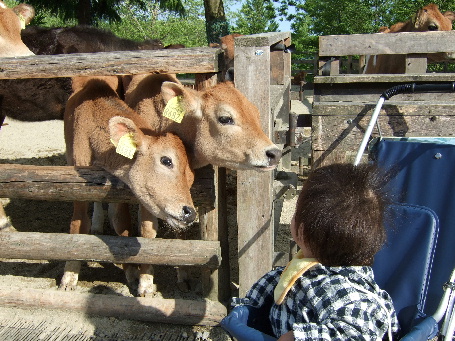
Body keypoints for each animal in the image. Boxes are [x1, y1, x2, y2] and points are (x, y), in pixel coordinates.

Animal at [60, 75, 196, 290]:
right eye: (166, 161)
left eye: (191, 176)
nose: (189, 212)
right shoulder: (77, 181)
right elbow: (77, 224)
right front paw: (69, 276)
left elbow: (121, 222)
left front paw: (133, 273)